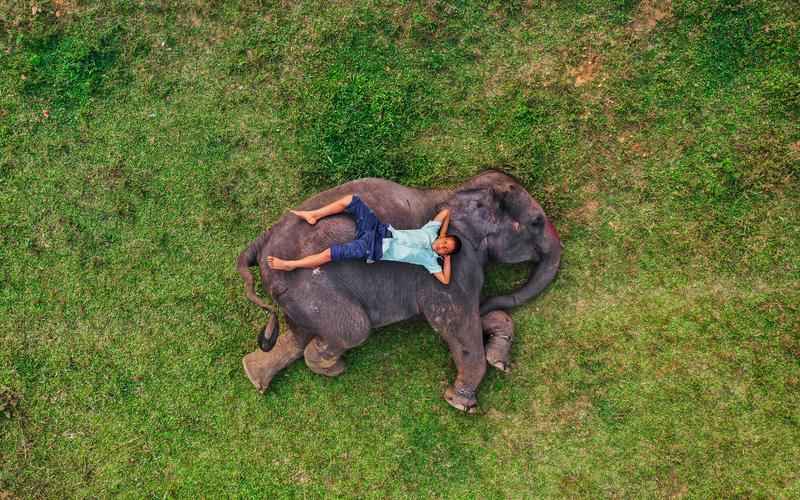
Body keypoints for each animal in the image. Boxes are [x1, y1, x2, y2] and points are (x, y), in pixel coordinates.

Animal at [238, 170, 564, 412]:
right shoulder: (455, 269)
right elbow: (454, 324)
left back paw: (254, 376)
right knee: (354, 329)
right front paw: (460, 403)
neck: (456, 191)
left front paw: (498, 358)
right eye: (536, 222)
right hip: (312, 289)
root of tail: (260, 246)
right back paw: (334, 368)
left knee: (302, 334)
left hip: (296, 294)